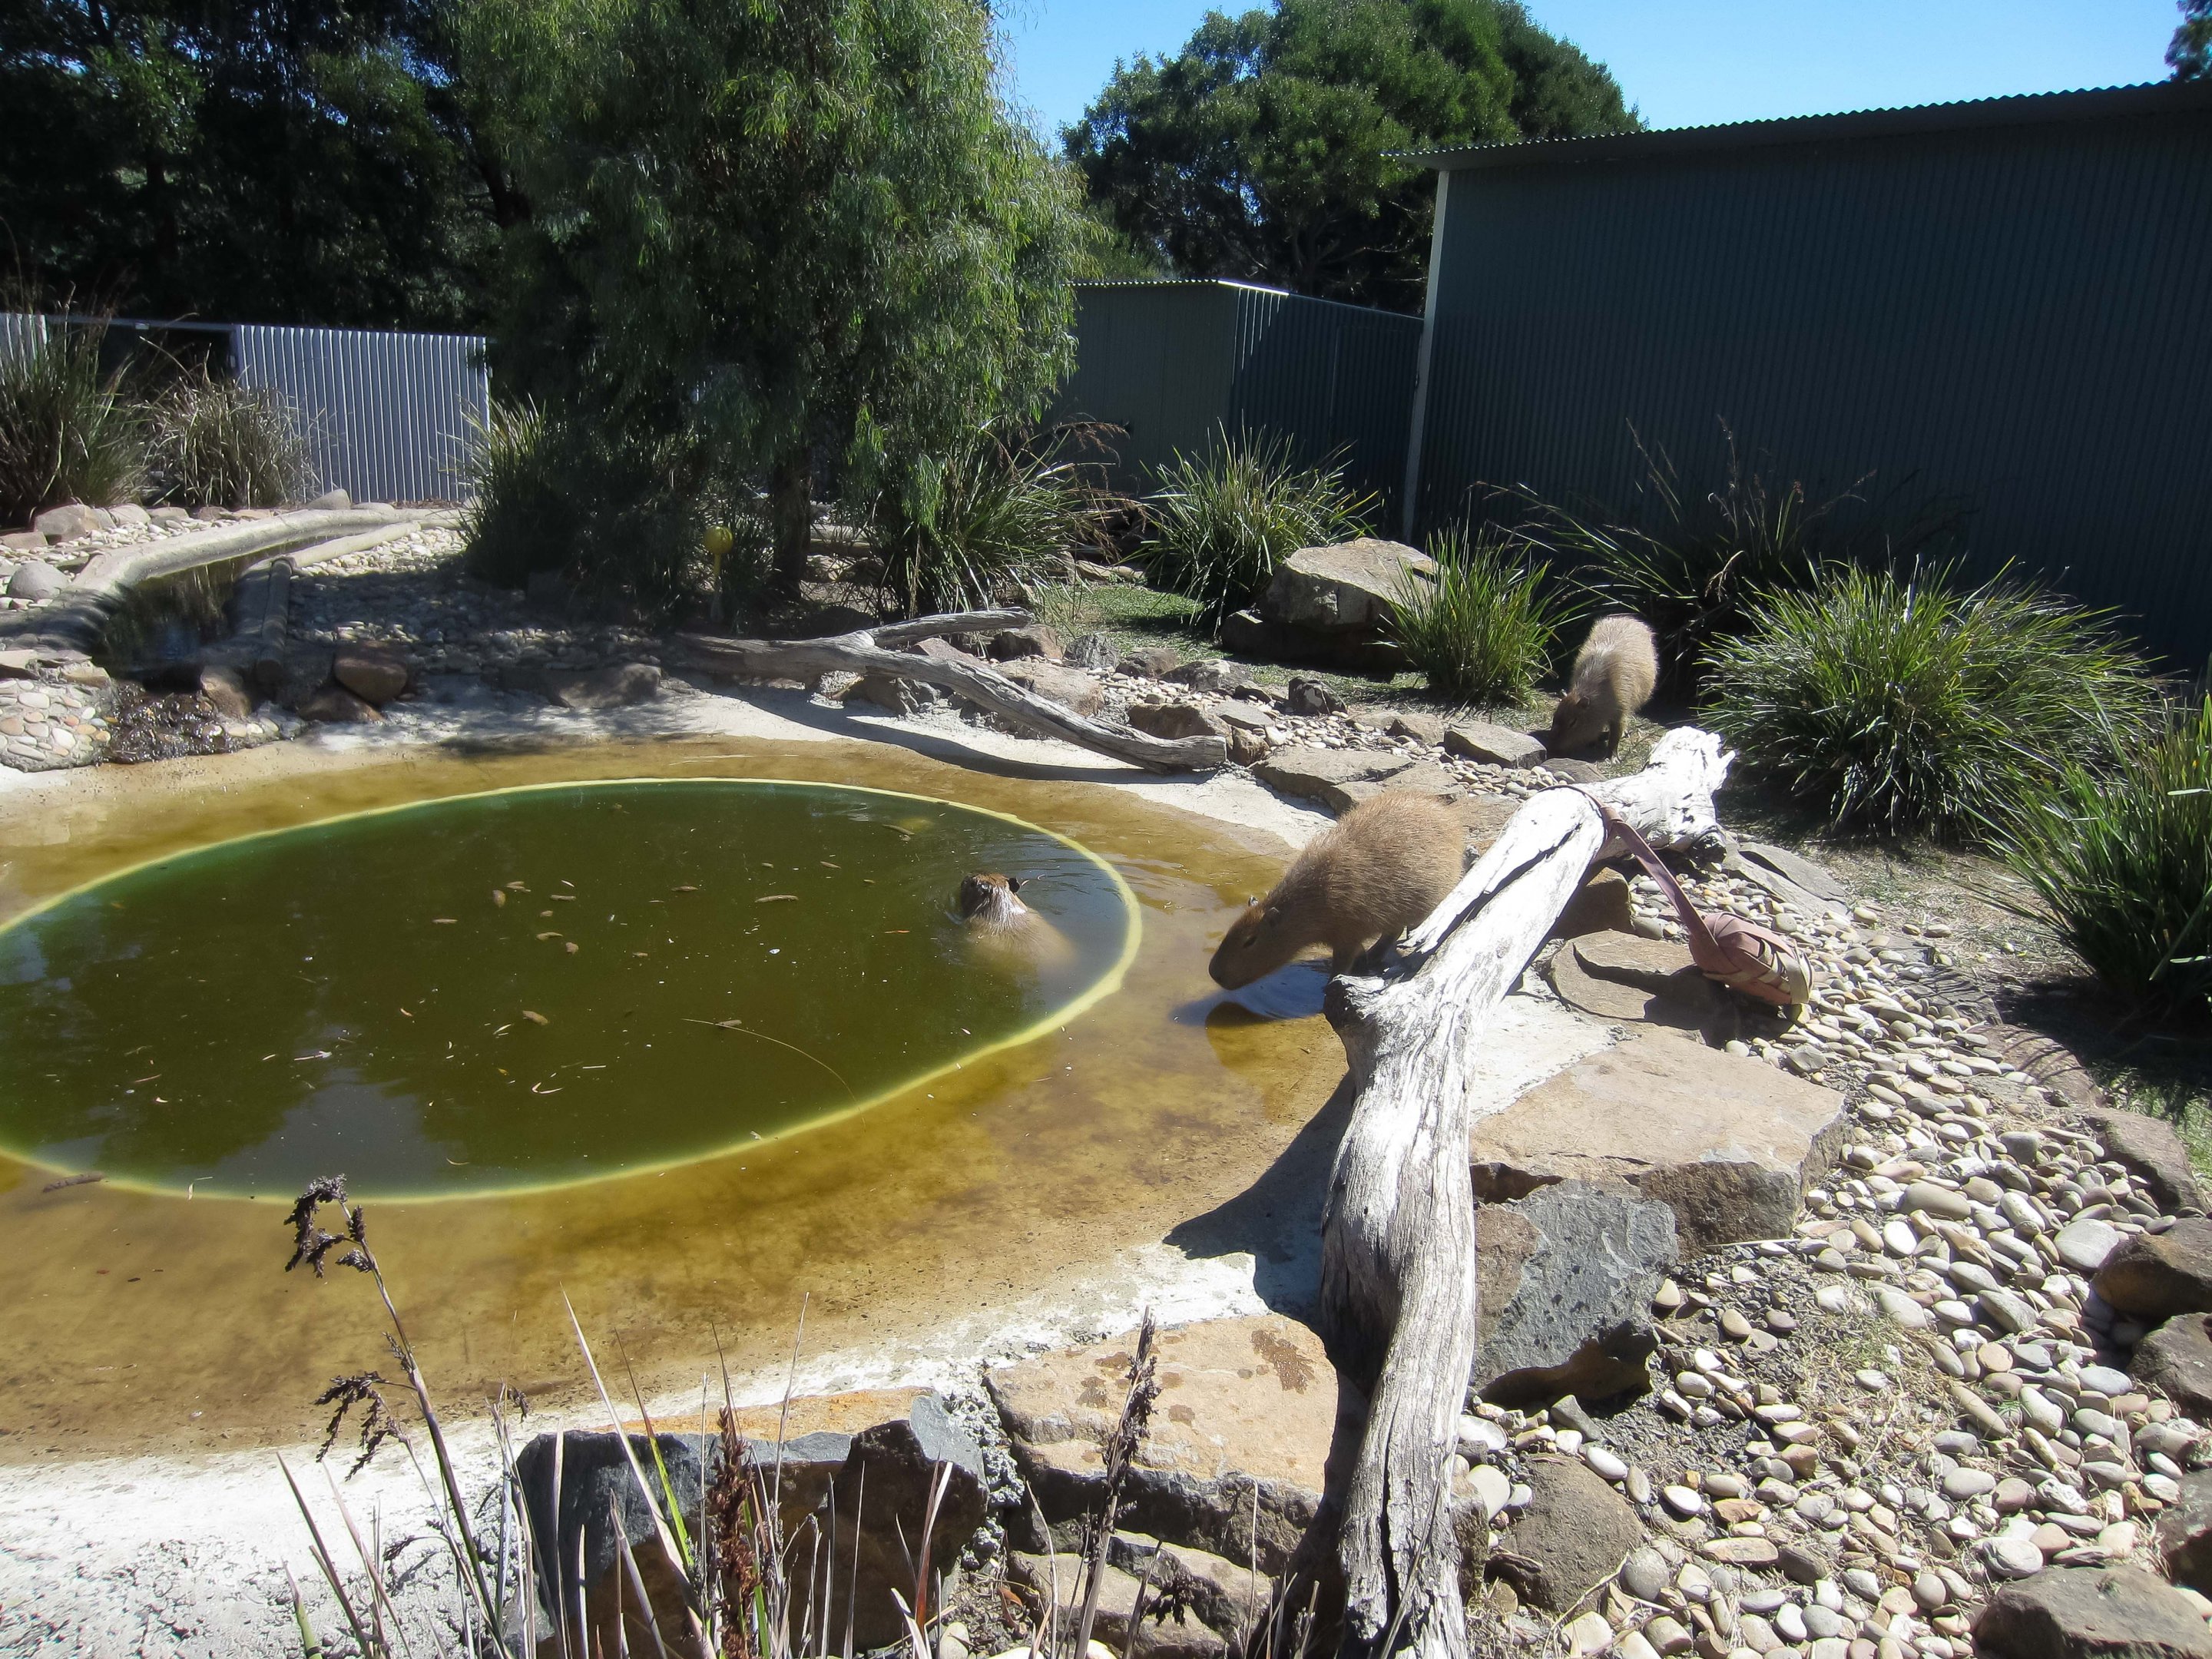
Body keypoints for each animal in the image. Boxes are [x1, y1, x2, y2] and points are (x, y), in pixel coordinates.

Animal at [1209, 793, 1467, 989]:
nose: (1213, 973)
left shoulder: (1347, 932)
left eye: (1250, 941)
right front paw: (1362, 961)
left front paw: (1330, 985)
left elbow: (1342, 963)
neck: (1313, 898)